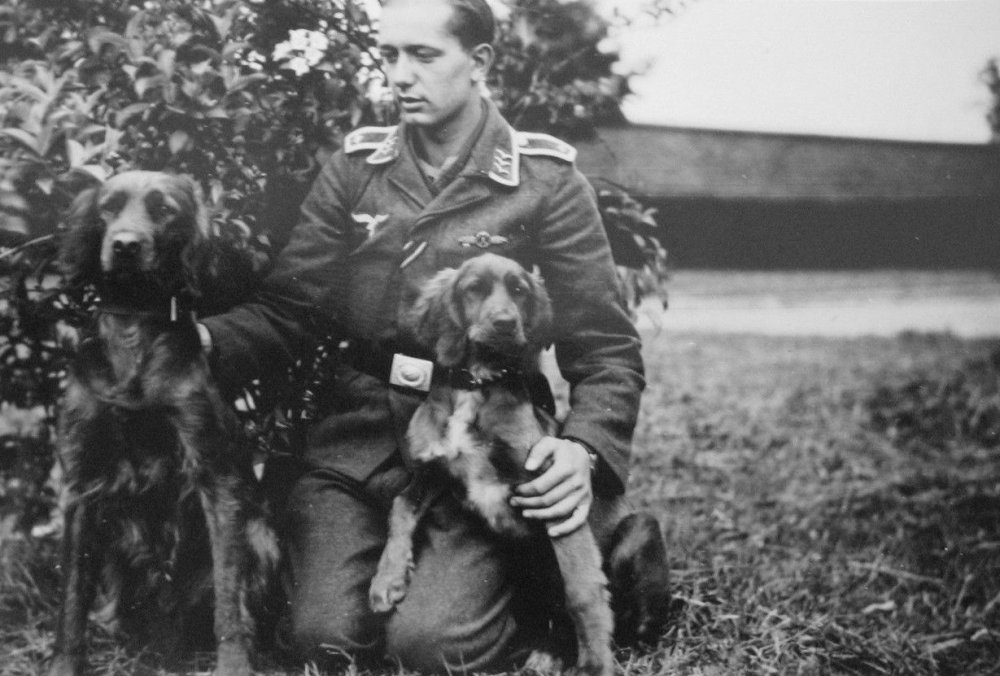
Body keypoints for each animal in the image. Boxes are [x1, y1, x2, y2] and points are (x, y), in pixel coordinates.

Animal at [48, 171, 279, 676]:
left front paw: (234, 664)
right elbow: (71, 597)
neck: (133, 328)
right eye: (108, 206)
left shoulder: (215, 476)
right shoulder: (82, 483)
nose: (125, 245)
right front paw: (64, 664)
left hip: (262, 537)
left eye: (164, 209)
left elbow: (229, 597)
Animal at [367, 253, 671, 675]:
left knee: (631, 625)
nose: (505, 323)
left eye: (519, 290)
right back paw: (544, 653)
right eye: (473, 289)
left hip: (638, 531)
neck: (477, 384)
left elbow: (581, 590)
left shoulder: (554, 496)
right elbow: (400, 507)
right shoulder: (432, 470)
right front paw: (387, 580)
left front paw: (596, 665)